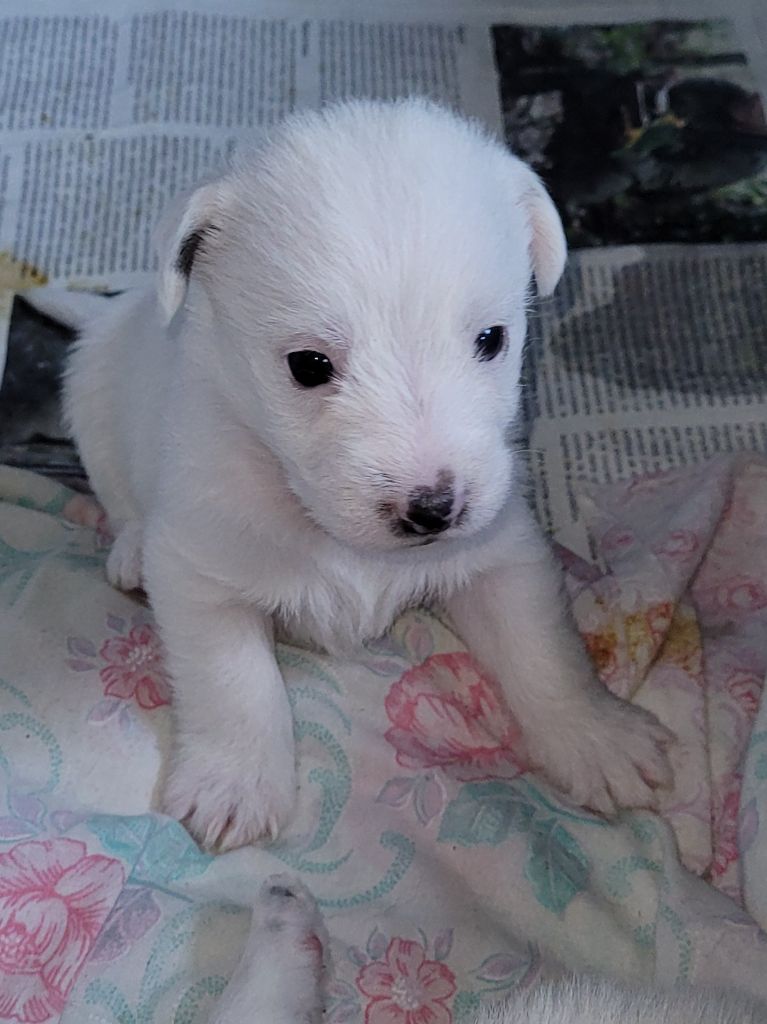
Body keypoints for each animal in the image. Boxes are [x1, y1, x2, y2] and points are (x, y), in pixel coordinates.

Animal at [54, 98, 673, 851]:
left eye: (491, 339)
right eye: (307, 365)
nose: (433, 509)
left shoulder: (504, 556)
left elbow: (544, 651)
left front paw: (596, 736)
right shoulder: (201, 572)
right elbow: (234, 682)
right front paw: (234, 783)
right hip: (87, 389)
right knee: (117, 495)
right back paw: (128, 548)